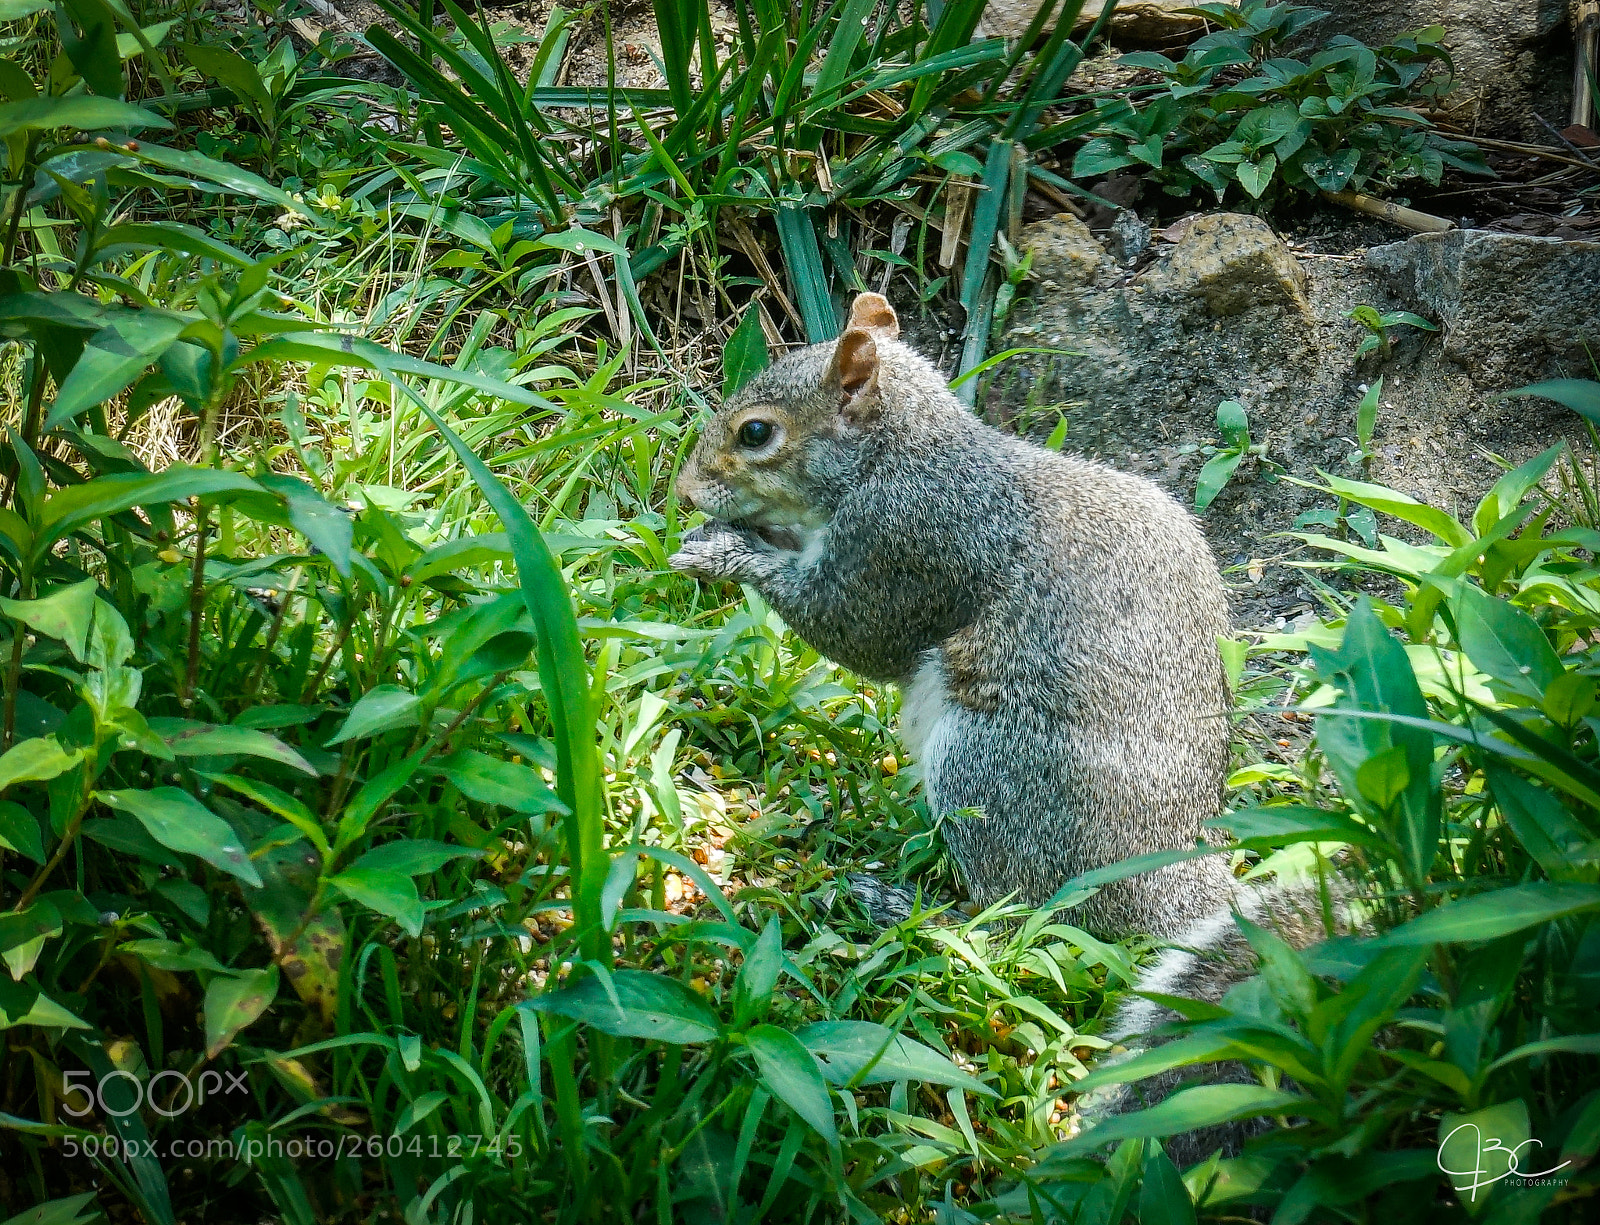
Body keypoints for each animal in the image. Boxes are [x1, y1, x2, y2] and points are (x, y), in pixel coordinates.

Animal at [670, 291, 1240, 944]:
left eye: (756, 432)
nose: (685, 490)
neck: (903, 454)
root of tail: (1168, 880)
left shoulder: (907, 543)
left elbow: (856, 631)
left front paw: (724, 552)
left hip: (988, 770)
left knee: (1013, 915)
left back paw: (904, 908)